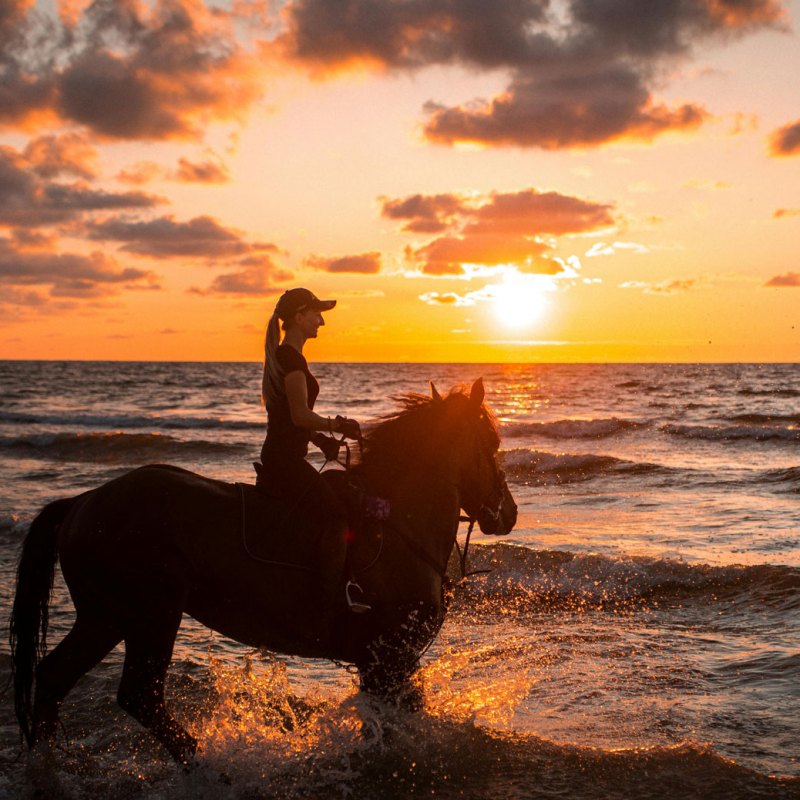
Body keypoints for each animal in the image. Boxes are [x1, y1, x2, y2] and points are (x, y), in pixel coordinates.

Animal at [10, 378, 517, 765]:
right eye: (491, 445)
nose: (507, 513)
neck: (396, 524)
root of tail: (83, 502)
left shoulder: (389, 660)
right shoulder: (387, 656)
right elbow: (393, 725)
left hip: (106, 616)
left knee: (53, 678)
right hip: (152, 613)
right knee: (140, 696)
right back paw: (207, 765)